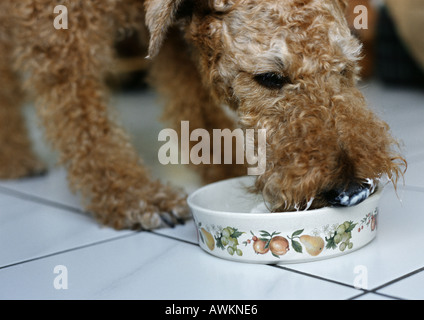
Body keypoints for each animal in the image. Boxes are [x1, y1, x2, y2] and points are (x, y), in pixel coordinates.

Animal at [0, 0, 404, 230]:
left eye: (346, 68)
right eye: (270, 78)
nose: (351, 190)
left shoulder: (171, 39)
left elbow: (196, 109)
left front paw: (226, 170)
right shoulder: (58, 28)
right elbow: (84, 120)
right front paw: (136, 198)